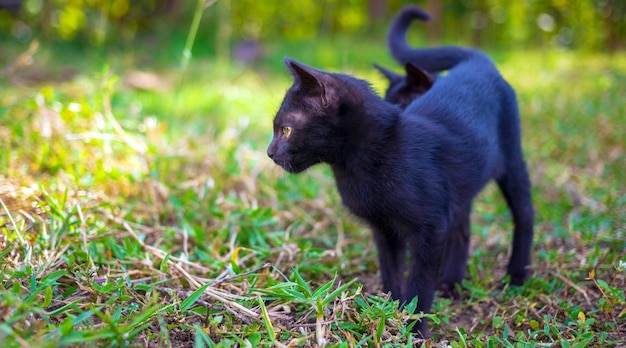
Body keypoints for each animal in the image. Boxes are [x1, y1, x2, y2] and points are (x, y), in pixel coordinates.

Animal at [266, 20, 532, 338]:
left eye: (286, 130)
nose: (269, 152)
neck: (362, 165)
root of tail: (477, 62)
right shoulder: (384, 228)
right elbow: (390, 270)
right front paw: (388, 311)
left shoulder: (431, 227)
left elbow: (420, 280)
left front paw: (414, 328)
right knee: (462, 228)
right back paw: (451, 283)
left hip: (512, 161)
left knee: (524, 213)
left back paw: (517, 274)